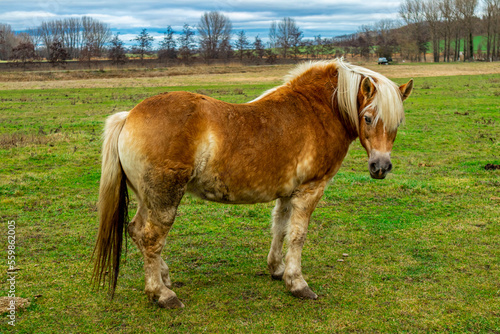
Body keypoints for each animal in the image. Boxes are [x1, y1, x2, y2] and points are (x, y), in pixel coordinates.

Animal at [92, 58, 412, 310]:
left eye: (397, 122)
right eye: (368, 118)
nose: (381, 167)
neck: (317, 110)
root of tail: (129, 116)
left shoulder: (287, 192)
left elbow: (280, 228)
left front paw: (277, 269)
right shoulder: (310, 189)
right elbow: (298, 236)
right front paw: (298, 283)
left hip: (148, 198)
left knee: (137, 231)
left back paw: (164, 277)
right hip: (165, 198)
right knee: (151, 238)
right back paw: (161, 293)